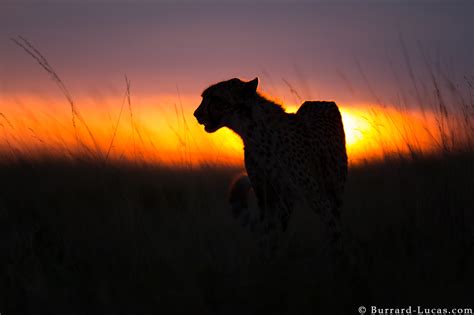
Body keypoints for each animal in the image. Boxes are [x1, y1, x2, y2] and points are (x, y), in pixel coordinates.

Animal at [193, 78, 348, 258]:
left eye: (215, 99)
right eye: (204, 98)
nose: (196, 114)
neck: (251, 132)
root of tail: (323, 101)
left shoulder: (317, 198)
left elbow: (333, 231)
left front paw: (336, 256)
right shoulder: (267, 197)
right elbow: (267, 235)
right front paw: (267, 258)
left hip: (334, 189)